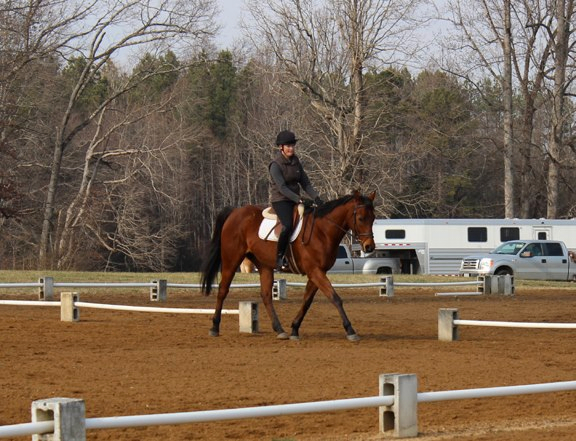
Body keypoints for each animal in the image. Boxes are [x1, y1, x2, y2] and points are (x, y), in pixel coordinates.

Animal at [200, 189, 376, 340]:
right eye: (361, 218)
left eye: (373, 218)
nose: (369, 247)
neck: (322, 231)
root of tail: (235, 212)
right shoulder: (315, 271)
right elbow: (335, 298)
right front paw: (350, 330)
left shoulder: (317, 272)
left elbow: (307, 301)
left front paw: (294, 329)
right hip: (231, 260)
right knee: (223, 290)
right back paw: (214, 327)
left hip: (264, 266)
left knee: (266, 296)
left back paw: (280, 330)